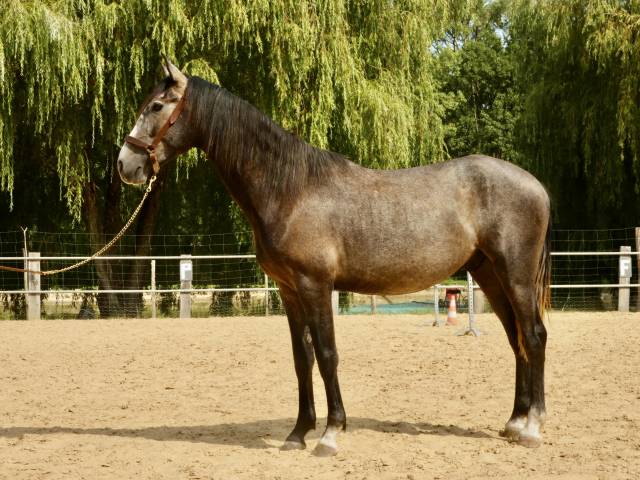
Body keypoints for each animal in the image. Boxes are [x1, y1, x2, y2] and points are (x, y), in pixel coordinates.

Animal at [117, 59, 551, 456]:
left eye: (156, 105)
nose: (125, 164)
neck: (290, 190)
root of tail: (536, 185)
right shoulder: (289, 290)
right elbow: (302, 358)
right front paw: (297, 433)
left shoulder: (315, 286)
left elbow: (327, 355)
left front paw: (330, 434)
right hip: (490, 275)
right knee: (515, 339)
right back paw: (514, 421)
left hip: (515, 275)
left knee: (533, 335)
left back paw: (532, 428)